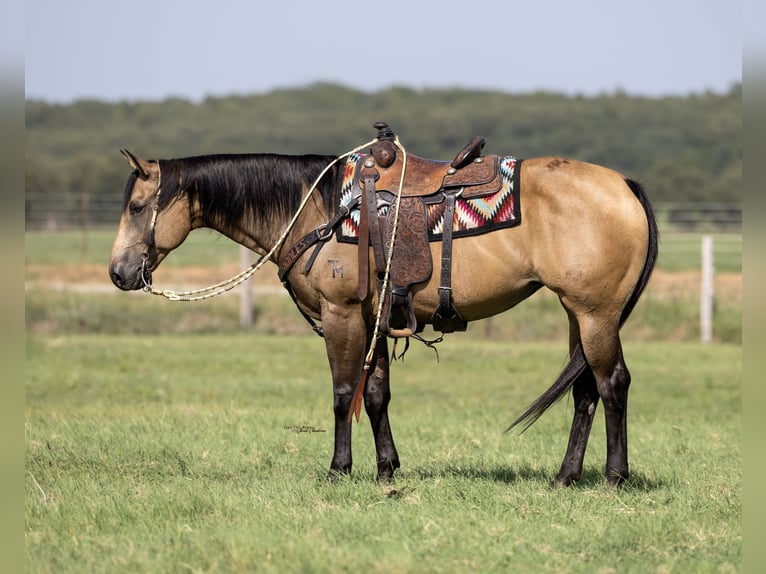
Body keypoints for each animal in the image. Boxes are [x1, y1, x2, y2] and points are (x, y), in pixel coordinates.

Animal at [108, 124, 660, 488]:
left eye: (136, 207)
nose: (118, 272)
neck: (320, 209)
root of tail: (624, 185)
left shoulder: (342, 314)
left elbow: (341, 393)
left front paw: (338, 469)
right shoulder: (375, 318)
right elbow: (375, 396)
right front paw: (386, 468)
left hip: (596, 314)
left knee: (613, 384)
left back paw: (614, 476)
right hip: (577, 314)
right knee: (585, 390)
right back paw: (566, 476)